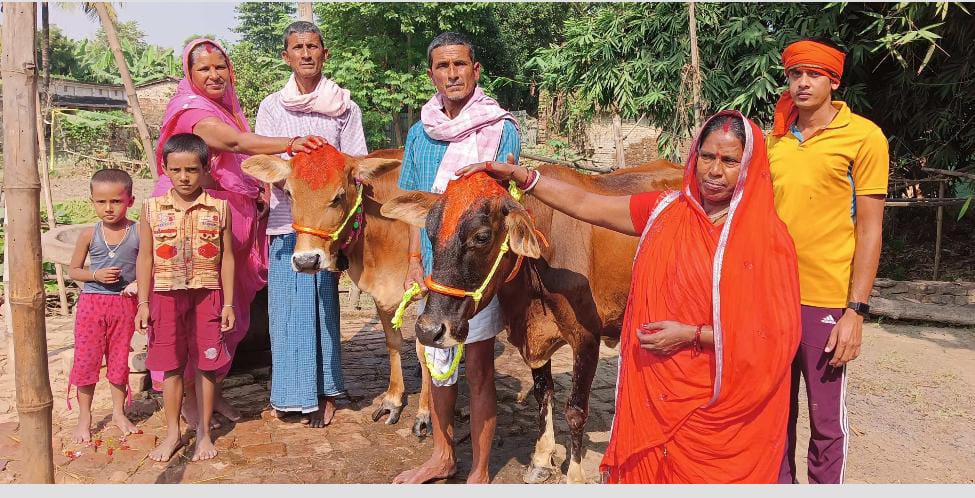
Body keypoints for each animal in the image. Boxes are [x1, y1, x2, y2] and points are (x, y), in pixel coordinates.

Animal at [242, 147, 432, 436]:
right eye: (289, 194)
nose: (306, 261)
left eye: (339, 196)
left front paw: (425, 413)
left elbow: (426, 352)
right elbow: (393, 342)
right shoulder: (380, 295)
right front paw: (392, 401)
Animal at [378, 162, 684, 482]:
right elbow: (543, 394)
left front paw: (574, 475)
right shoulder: (535, 338)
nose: (429, 330)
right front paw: (541, 459)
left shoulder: (586, 337)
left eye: (482, 237)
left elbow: (576, 410)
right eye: (431, 232)